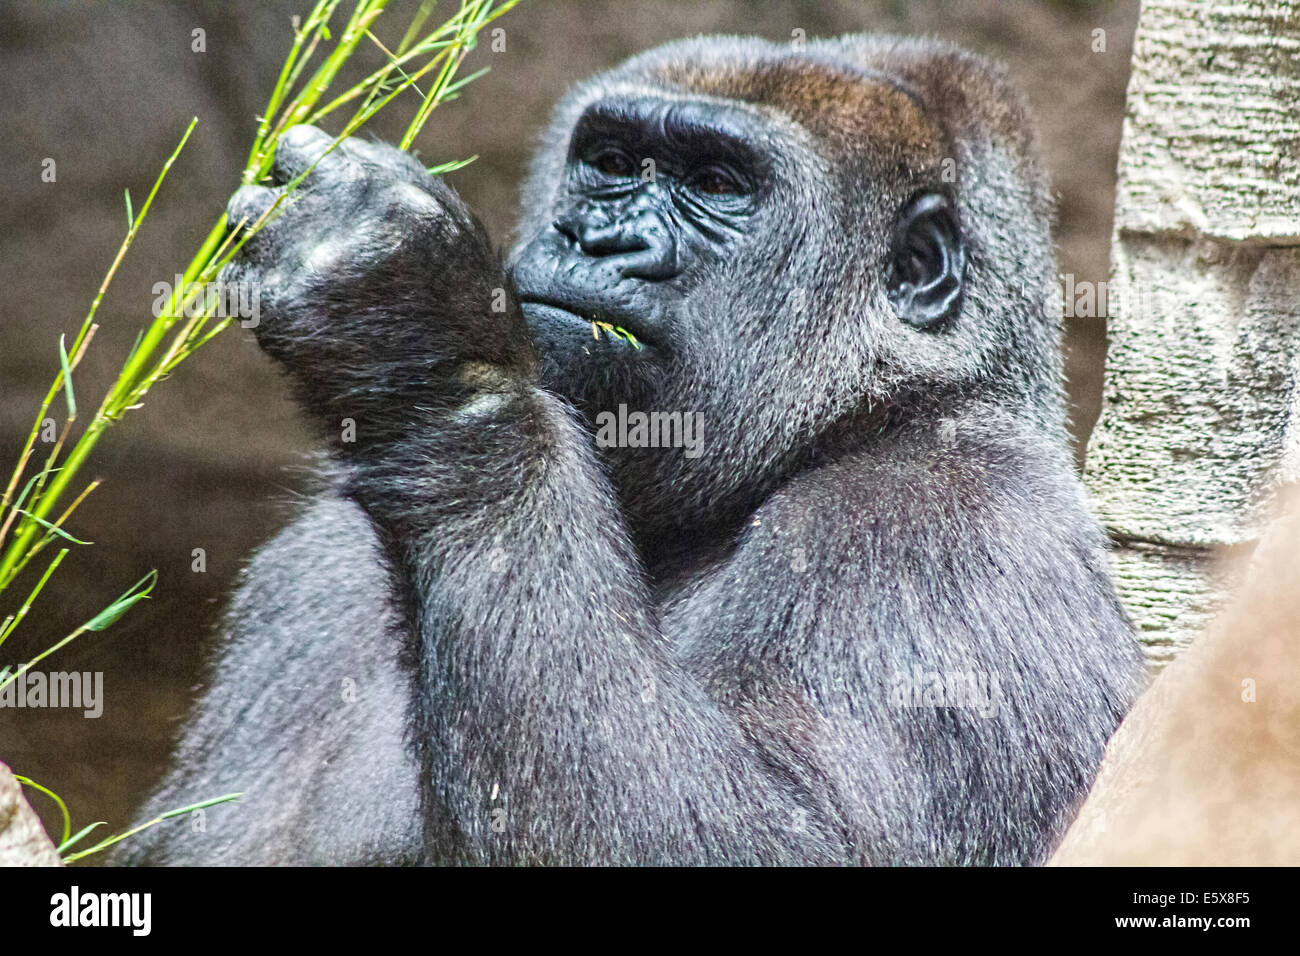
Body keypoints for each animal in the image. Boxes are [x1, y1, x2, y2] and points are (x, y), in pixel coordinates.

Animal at [116, 35, 1144, 868]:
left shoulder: (953, 525)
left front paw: (420, 349)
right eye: (609, 164)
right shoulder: (309, 575)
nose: (597, 237)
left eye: (720, 185)